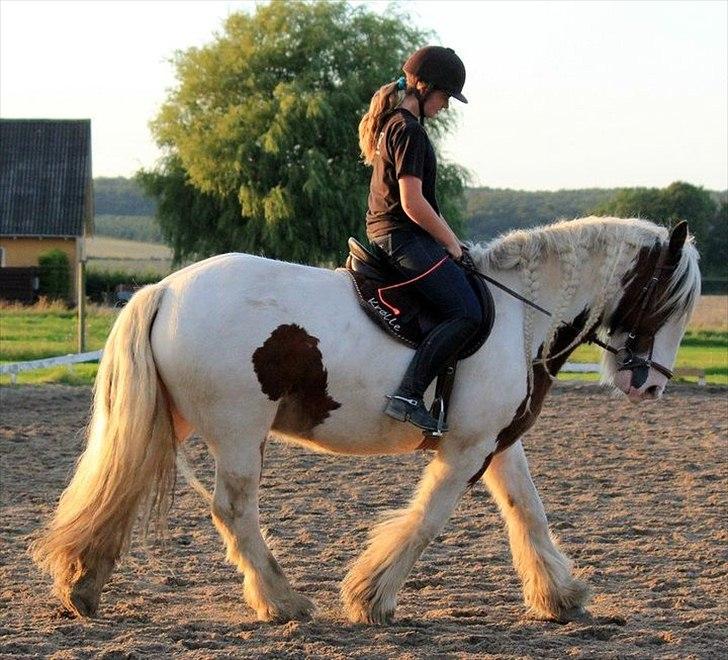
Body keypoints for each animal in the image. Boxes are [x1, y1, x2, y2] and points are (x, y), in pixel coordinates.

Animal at [32, 215, 700, 624]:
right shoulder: (464, 448)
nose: (649, 384)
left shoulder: (498, 443)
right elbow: (427, 520)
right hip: (238, 432)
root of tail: (167, 289)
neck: (519, 317)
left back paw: (82, 585)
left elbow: (527, 513)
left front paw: (560, 597)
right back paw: (282, 601)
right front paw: (370, 598)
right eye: (668, 299)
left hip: (172, 422)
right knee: (233, 511)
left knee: (120, 486)